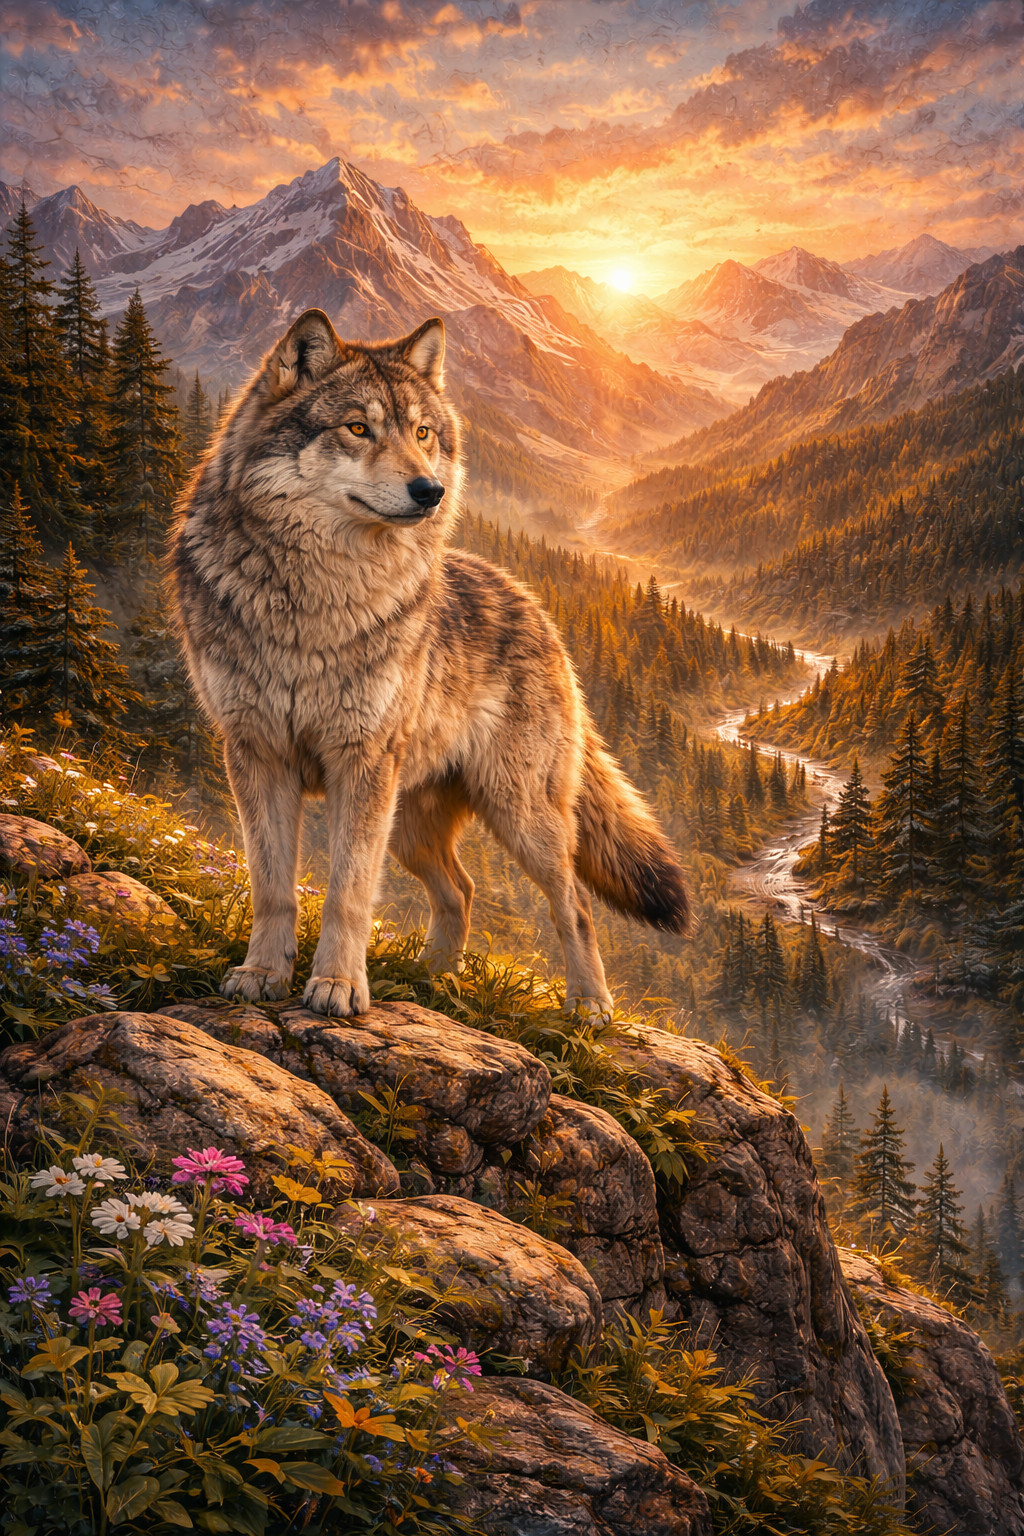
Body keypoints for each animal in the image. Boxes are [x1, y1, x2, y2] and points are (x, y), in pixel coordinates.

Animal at [171, 309, 688, 1017]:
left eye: (422, 433)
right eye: (358, 428)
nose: (430, 491)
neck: (315, 599)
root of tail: (537, 608)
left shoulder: (360, 763)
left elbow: (347, 894)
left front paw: (338, 986)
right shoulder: (256, 754)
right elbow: (273, 887)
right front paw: (262, 975)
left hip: (516, 814)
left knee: (575, 904)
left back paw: (588, 1007)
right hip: (412, 823)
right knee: (463, 890)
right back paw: (431, 979)